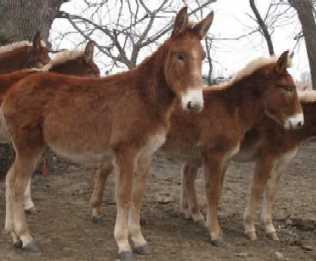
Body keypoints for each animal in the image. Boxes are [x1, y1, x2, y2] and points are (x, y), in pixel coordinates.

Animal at [2, 7, 214, 258]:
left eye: (202, 56)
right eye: (179, 55)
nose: (195, 104)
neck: (144, 98)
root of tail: (13, 90)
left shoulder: (146, 155)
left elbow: (137, 197)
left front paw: (139, 240)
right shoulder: (126, 152)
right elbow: (123, 195)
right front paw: (123, 245)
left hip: (27, 148)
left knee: (11, 179)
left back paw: (14, 236)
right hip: (28, 146)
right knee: (17, 185)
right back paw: (26, 238)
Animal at [89, 52, 304, 244]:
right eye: (287, 88)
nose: (299, 122)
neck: (230, 109)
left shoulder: (224, 158)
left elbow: (218, 190)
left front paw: (208, 222)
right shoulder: (215, 156)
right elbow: (212, 192)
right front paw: (215, 233)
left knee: (103, 170)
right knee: (104, 171)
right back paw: (96, 211)